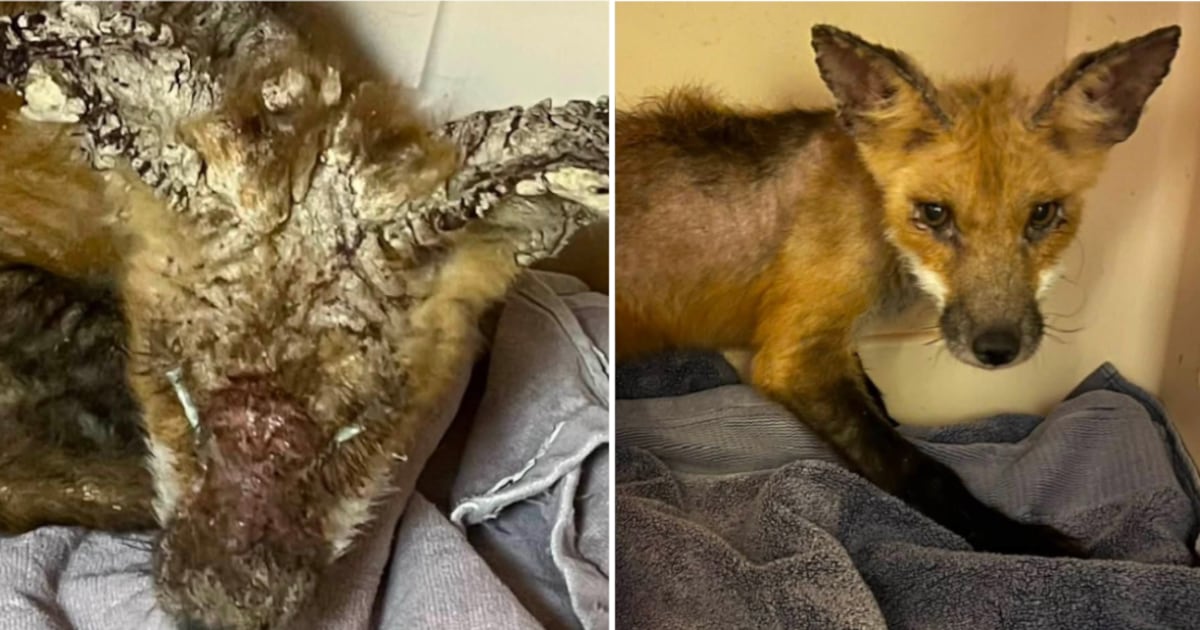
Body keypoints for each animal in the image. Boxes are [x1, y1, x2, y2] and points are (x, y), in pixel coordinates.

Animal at [616, 24, 1180, 556]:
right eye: (934, 214)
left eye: (1042, 214)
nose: (997, 349)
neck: (876, 217)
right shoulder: (794, 356)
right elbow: (919, 468)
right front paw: (1015, 539)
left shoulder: (832, 338)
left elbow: (874, 397)